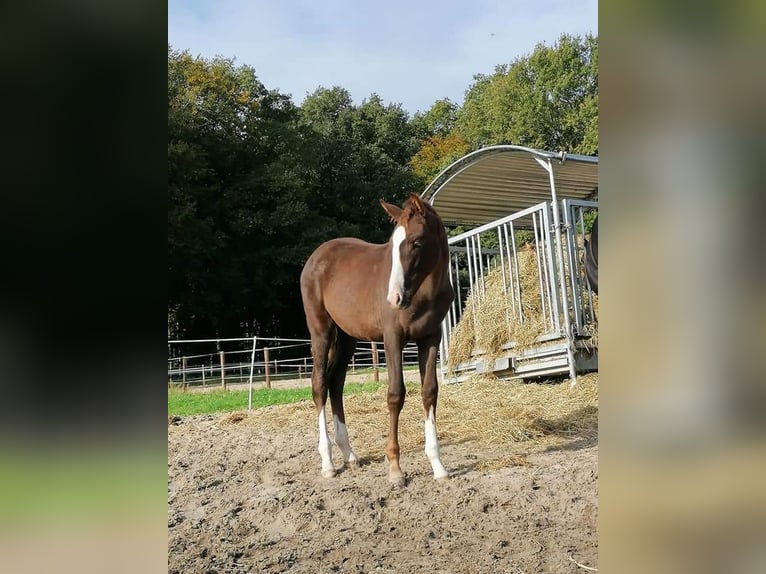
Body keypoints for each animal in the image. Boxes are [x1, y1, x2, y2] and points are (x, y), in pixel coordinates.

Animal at [300, 194, 456, 486]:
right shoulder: (392, 337)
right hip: (321, 330)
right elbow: (395, 394)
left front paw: (438, 466)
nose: (394, 297)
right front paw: (395, 468)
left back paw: (349, 455)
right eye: (392, 245)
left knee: (336, 382)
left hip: (347, 337)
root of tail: (316, 256)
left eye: (417, 242)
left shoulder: (431, 337)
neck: (424, 293)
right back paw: (328, 463)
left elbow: (429, 391)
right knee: (320, 384)